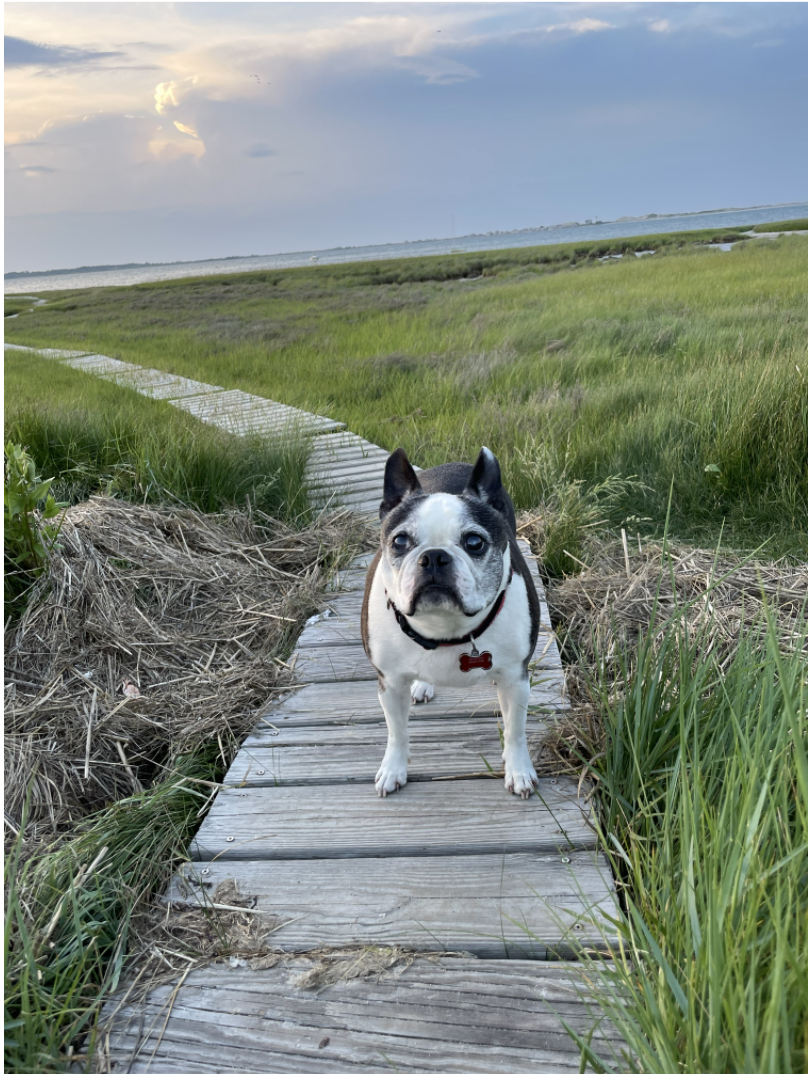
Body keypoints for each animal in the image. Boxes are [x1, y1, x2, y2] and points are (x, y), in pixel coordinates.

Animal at [361, 442, 539, 799]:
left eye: (474, 542)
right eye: (399, 542)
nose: (434, 556)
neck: (445, 628)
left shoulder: (516, 680)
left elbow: (515, 730)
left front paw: (518, 770)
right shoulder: (390, 683)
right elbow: (396, 732)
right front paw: (393, 769)